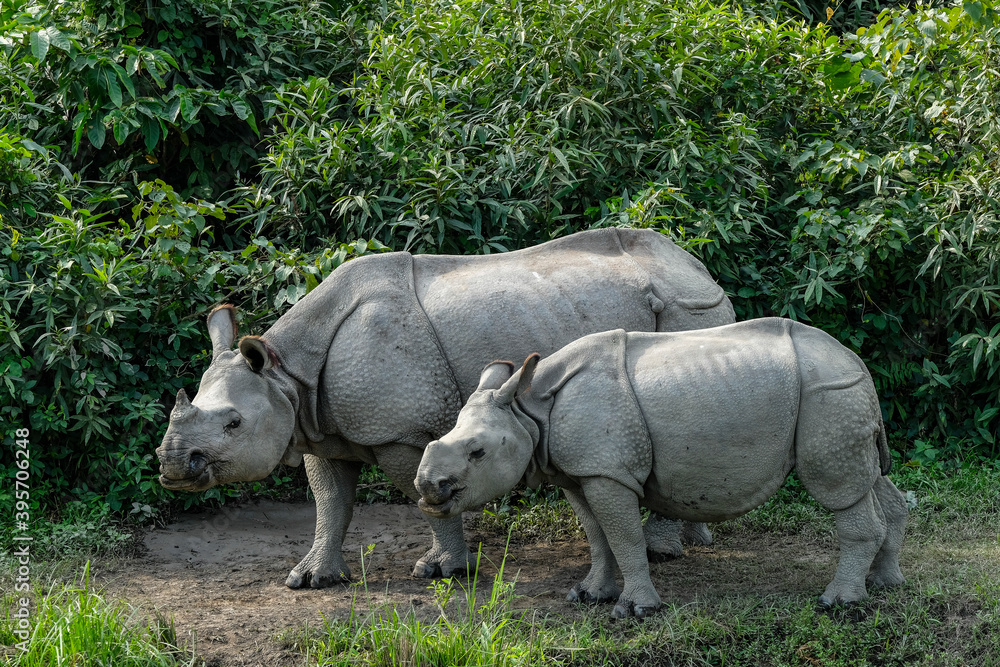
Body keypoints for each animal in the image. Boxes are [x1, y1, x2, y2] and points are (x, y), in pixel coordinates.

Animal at [156, 228, 735, 588]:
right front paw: (311, 579)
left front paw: (443, 570)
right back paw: (692, 537)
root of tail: (698, 267)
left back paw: (660, 551)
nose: (172, 466)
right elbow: (330, 502)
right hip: (675, 305)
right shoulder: (317, 425)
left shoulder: (399, 430)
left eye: (233, 423)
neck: (284, 374)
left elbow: (417, 493)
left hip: (687, 309)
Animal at [415, 318, 908, 617]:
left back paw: (837, 603)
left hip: (829, 394)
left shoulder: (607, 471)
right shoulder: (581, 470)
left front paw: (636, 610)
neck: (528, 409)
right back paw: (885, 584)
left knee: (840, 491)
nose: (427, 487)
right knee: (870, 481)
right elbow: (597, 537)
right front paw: (588, 595)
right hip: (841, 396)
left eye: (478, 453)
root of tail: (855, 360)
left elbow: (623, 535)